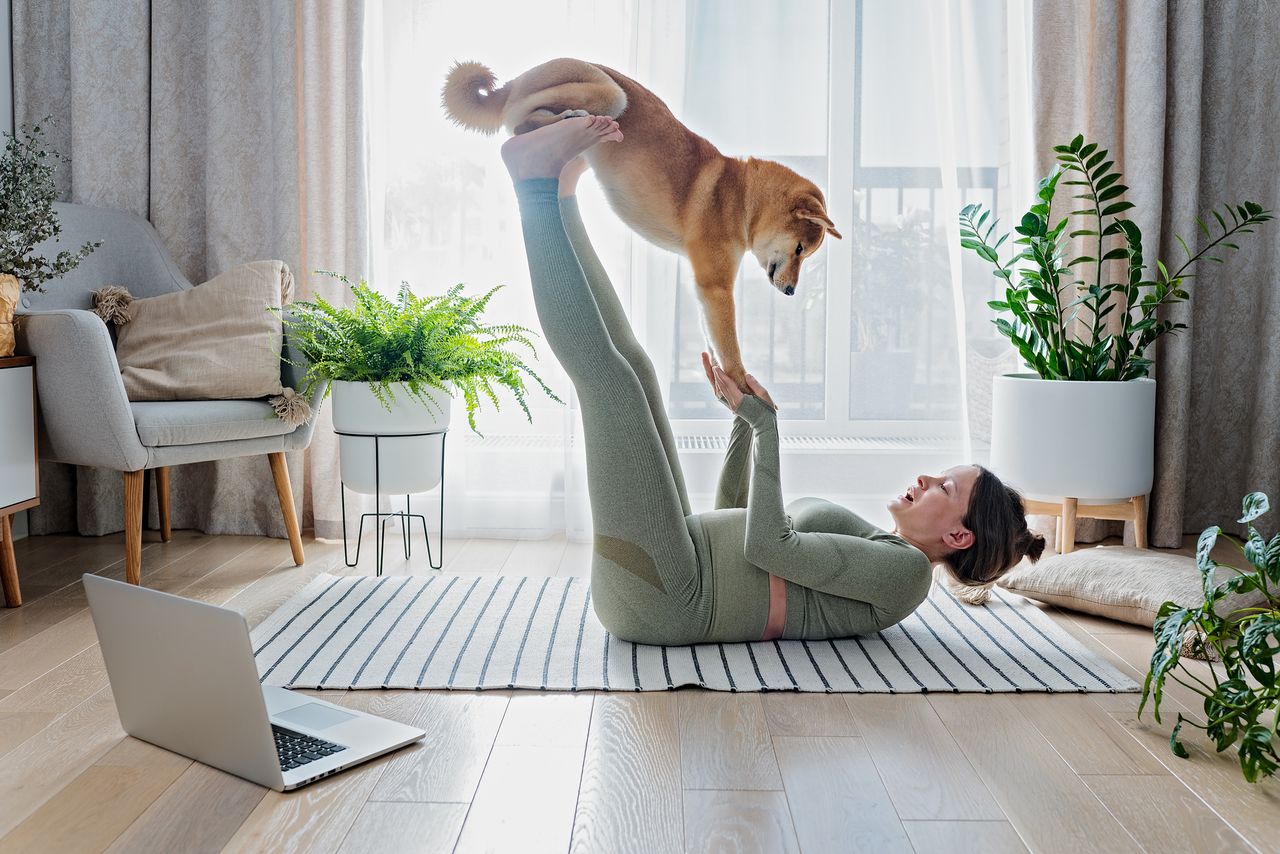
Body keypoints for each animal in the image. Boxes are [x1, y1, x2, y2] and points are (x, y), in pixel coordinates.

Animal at [440, 60, 839, 391]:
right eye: (800, 249)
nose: (791, 292)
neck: (741, 197)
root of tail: (516, 79)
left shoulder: (704, 288)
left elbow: (713, 339)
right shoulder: (716, 287)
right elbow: (730, 345)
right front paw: (743, 387)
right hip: (609, 91)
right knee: (522, 123)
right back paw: (572, 119)